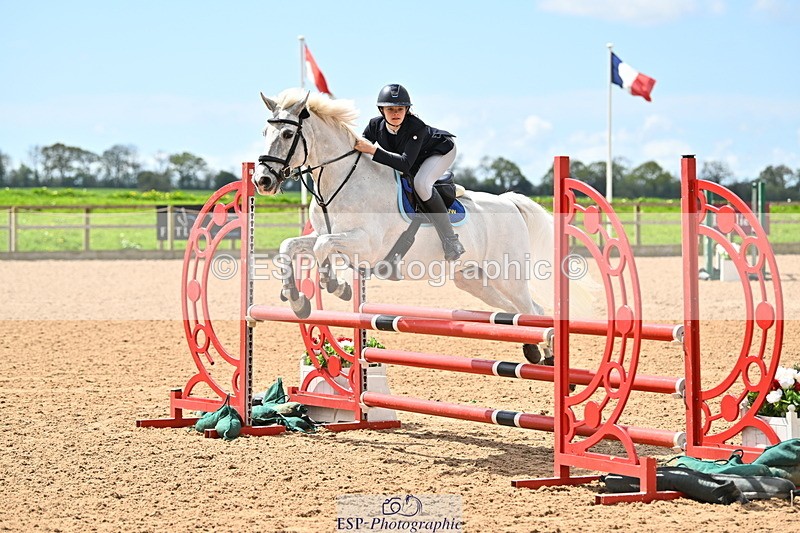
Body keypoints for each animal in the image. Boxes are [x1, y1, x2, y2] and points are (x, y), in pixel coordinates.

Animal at [254, 88, 572, 364]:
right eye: (264, 133)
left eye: (288, 133)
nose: (262, 181)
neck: (340, 181)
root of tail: (509, 201)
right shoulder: (329, 235)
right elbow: (290, 246)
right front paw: (296, 299)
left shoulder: (365, 244)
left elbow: (322, 248)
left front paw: (335, 284)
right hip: (475, 279)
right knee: (517, 311)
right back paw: (534, 349)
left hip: (508, 274)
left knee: (532, 310)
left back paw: (548, 354)